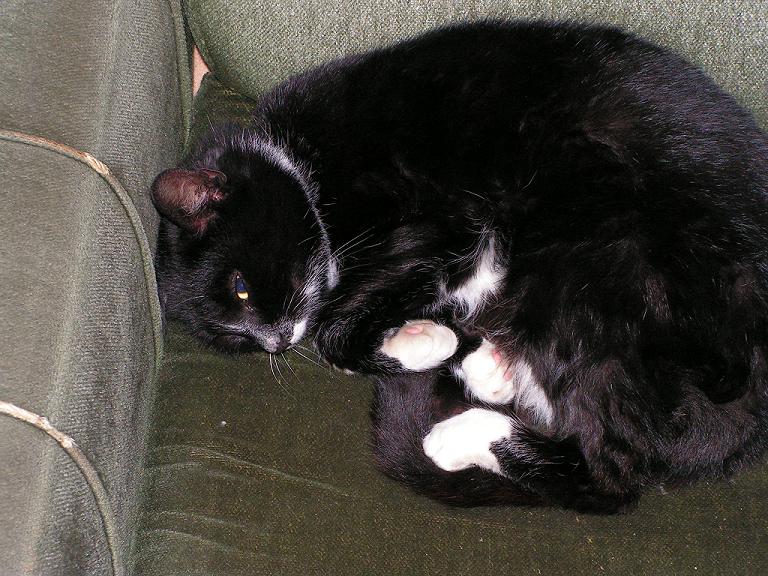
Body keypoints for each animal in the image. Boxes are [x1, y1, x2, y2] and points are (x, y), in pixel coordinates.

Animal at [152, 20, 768, 513]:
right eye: (235, 338)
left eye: (240, 288)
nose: (276, 341)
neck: (304, 165)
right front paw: (436, 341)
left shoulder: (457, 223)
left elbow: (334, 333)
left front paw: (427, 343)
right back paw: (490, 369)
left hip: (597, 259)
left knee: (610, 479)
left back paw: (459, 433)